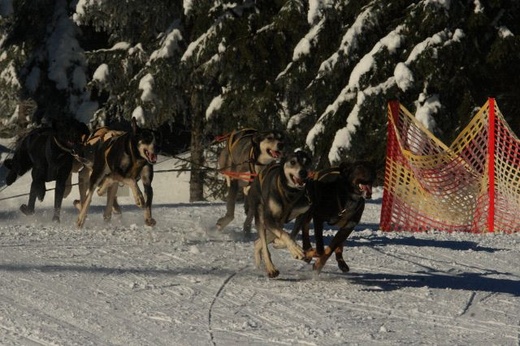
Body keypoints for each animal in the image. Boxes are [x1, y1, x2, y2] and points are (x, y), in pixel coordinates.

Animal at [245, 149, 310, 278]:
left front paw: (284, 245)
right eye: (293, 162)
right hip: (261, 217)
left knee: (259, 242)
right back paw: (271, 268)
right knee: (264, 245)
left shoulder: (302, 214)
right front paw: (296, 250)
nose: (303, 172)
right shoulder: (268, 218)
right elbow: (286, 235)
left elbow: (291, 235)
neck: (289, 194)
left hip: (278, 222)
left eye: (306, 162)